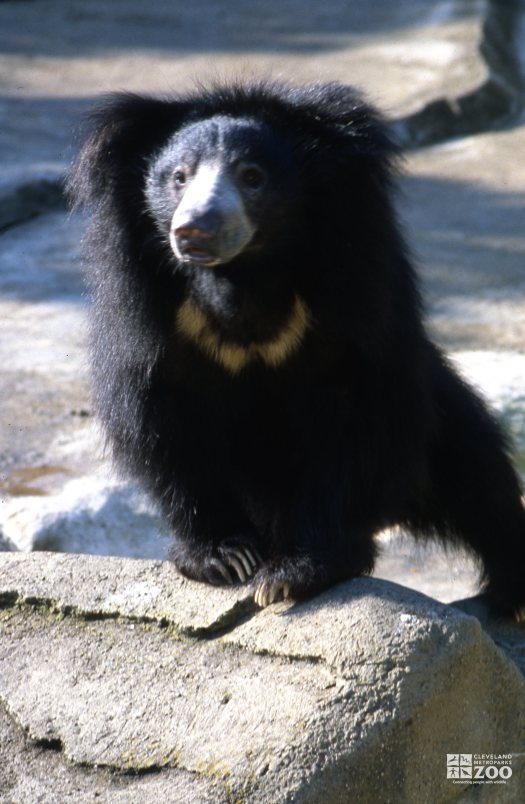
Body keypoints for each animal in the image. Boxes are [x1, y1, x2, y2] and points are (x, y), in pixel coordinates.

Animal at [68, 80, 524, 616]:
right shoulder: (149, 309)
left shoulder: (355, 288)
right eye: (179, 177)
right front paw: (224, 557)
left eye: (252, 176)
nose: (194, 228)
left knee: (475, 474)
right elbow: (159, 416)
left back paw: (508, 592)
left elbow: (357, 412)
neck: (242, 277)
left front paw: (297, 571)